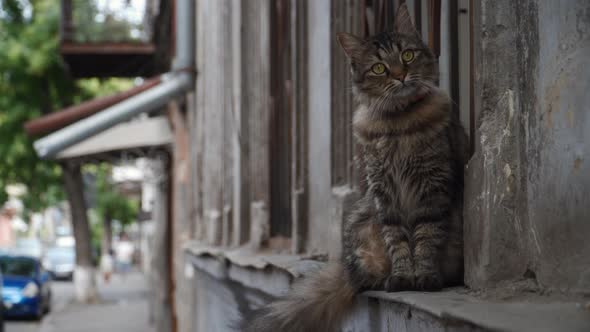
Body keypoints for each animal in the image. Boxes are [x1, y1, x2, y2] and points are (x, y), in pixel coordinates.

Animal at [243, 3, 470, 332]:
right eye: (379, 69)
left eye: (407, 55)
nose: (401, 76)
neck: (398, 123)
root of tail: (347, 270)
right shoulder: (385, 194)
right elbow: (399, 241)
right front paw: (403, 277)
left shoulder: (433, 186)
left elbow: (426, 237)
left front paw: (425, 277)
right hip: (364, 224)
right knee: (367, 279)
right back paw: (384, 279)